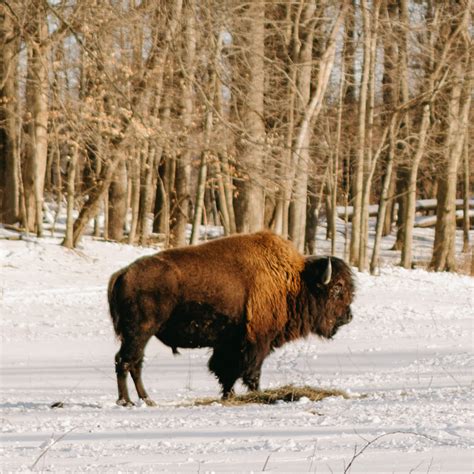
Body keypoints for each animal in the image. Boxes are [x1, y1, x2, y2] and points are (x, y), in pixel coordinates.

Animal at [106, 231, 352, 406]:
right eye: (337, 288)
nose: (348, 316)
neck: (294, 281)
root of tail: (123, 273)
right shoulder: (257, 342)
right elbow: (250, 373)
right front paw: (258, 395)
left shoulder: (229, 344)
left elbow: (226, 372)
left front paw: (228, 396)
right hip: (140, 331)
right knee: (125, 361)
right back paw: (127, 401)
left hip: (138, 334)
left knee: (134, 362)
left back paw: (145, 399)